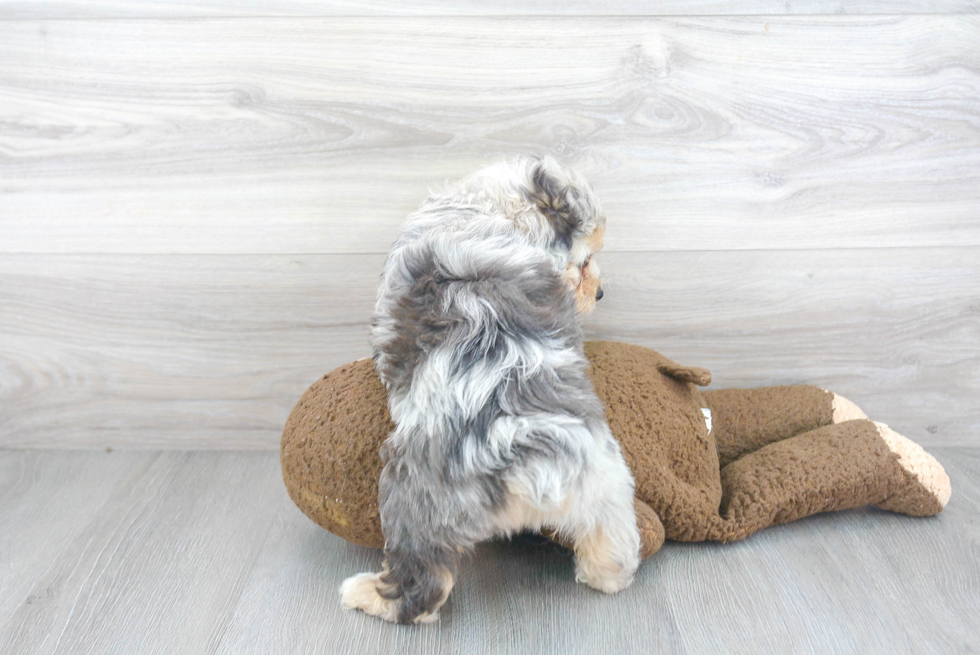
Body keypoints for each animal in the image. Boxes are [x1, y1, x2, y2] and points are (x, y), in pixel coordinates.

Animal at [340, 155, 640, 624]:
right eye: (586, 260)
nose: (601, 293)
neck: (489, 210)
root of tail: (522, 445)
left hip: (414, 496)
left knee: (424, 582)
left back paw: (368, 595)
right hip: (606, 482)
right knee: (612, 538)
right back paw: (609, 577)